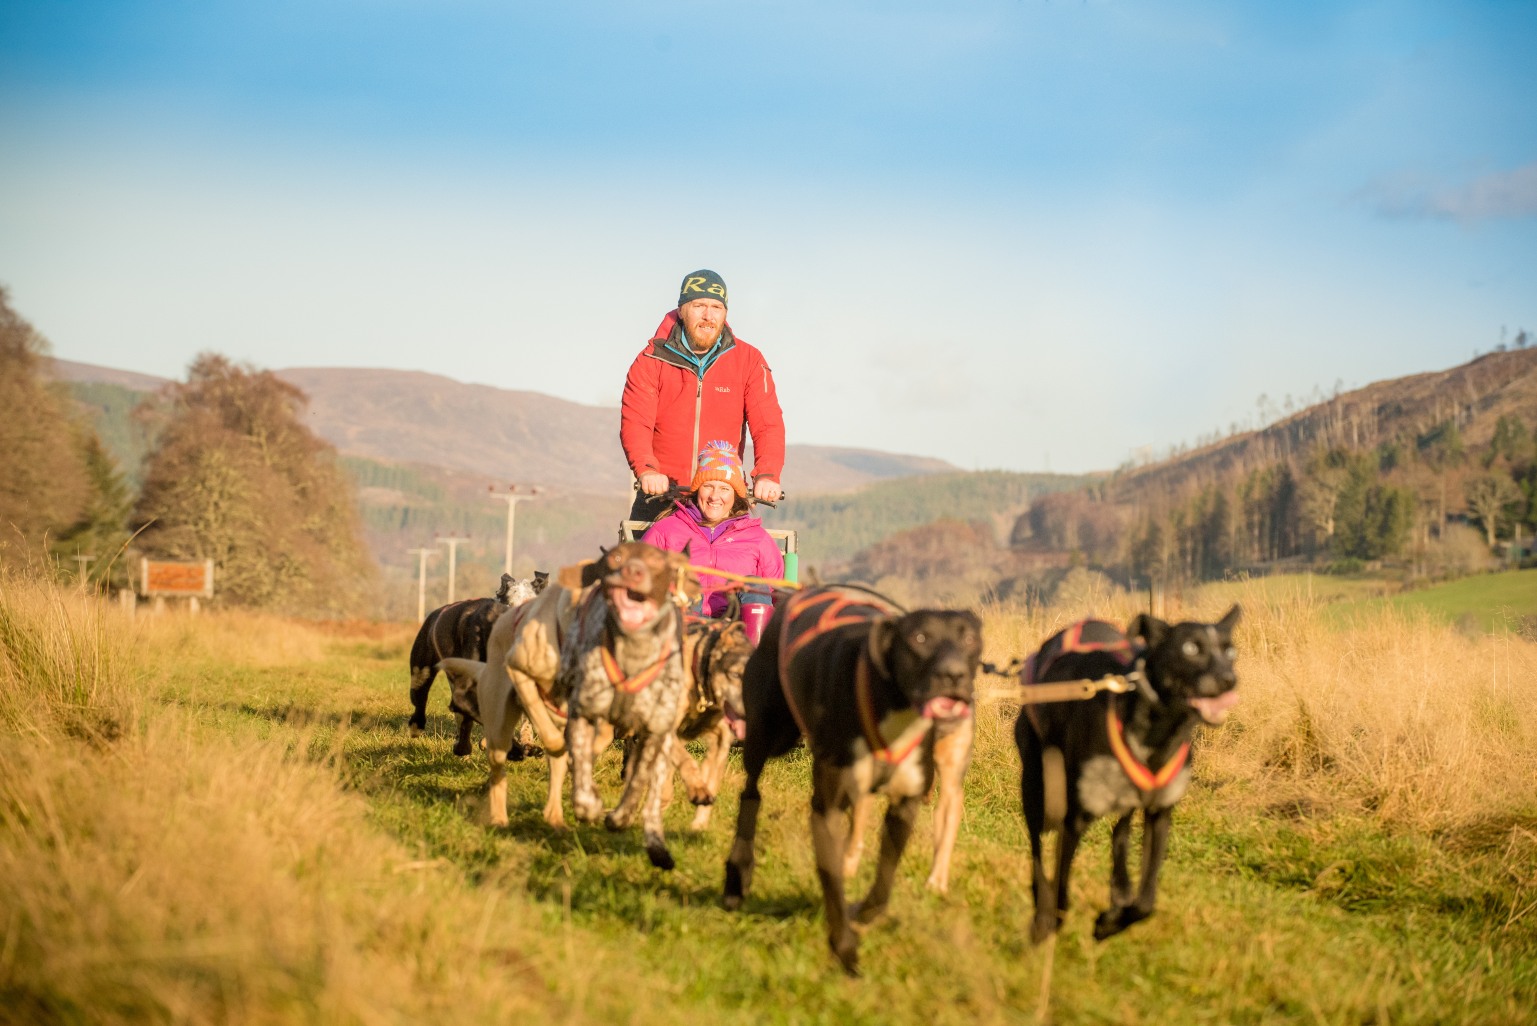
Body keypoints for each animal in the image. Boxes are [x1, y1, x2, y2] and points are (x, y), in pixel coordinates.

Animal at [722, 589, 983, 976]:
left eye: (969, 640)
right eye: (920, 638)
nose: (954, 675)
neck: (891, 702)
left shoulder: (905, 805)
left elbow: (883, 883)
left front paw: (863, 912)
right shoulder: (826, 809)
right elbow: (832, 879)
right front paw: (844, 946)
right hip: (768, 733)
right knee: (750, 792)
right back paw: (737, 874)